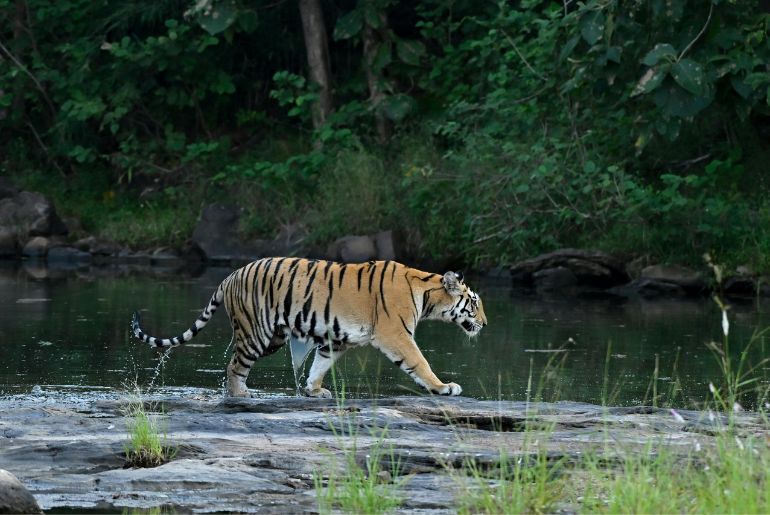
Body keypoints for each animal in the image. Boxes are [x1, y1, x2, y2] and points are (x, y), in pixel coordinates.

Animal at [131, 258, 487, 398]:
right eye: (474, 302)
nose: (485, 323)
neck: (427, 294)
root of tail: (230, 275)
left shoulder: (336, 339)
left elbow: (320, 364)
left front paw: (314, 390)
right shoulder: (396, 334)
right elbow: (420, 362)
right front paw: (444, 387)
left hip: (273, 336)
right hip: (257, 333)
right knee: (234, 365)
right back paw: (241, 394)